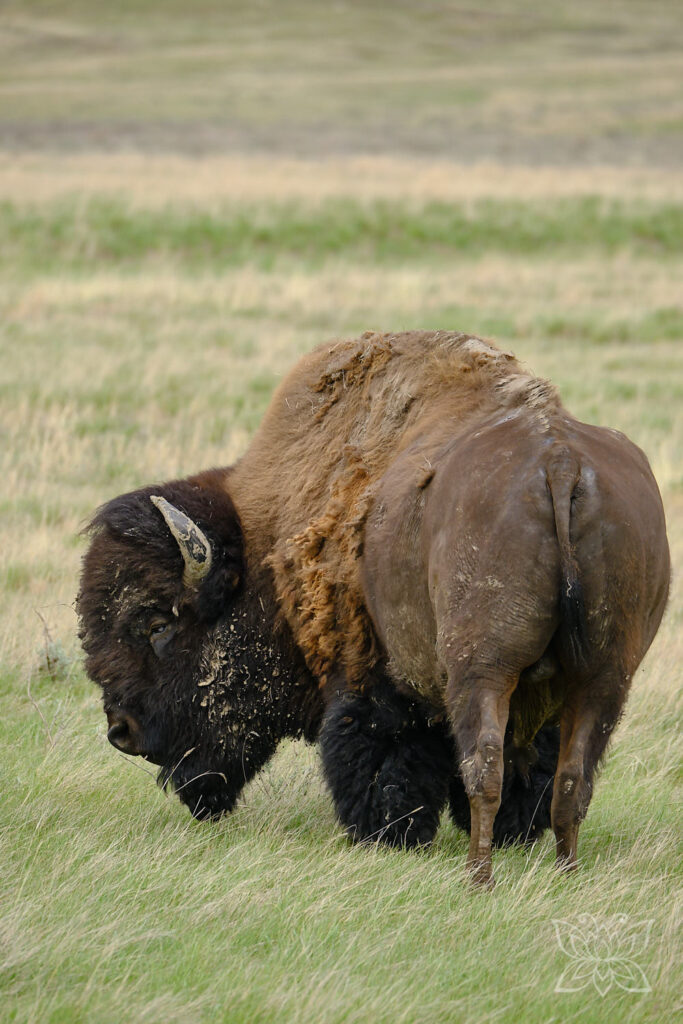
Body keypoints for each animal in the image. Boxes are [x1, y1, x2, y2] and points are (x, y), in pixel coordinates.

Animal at [78, 331, 670, 885]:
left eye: (157, 624)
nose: (121, 730)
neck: (268, 534)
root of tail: (559, 463)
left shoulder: (369, 677)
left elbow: (380, 756)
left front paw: (388, 835)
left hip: (484, 671)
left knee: (484, 765)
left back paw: (478, 877)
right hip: (604, 677)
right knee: (571, 778)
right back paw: (562, 869)